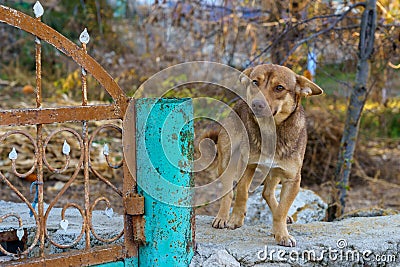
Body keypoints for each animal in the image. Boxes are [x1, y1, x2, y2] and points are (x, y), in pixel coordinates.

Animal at [211, 63, 324, 248]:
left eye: (279, 88)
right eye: (255, 82)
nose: (256, 104)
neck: (271, 131)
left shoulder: (292, 179)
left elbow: (282, 210)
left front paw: (282, 234)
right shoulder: (248, 165)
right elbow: (241, 193)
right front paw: (235, 219)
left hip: (275, 172)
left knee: (267, 193)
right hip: (227, 160)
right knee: (228, 193)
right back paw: (222, 217)